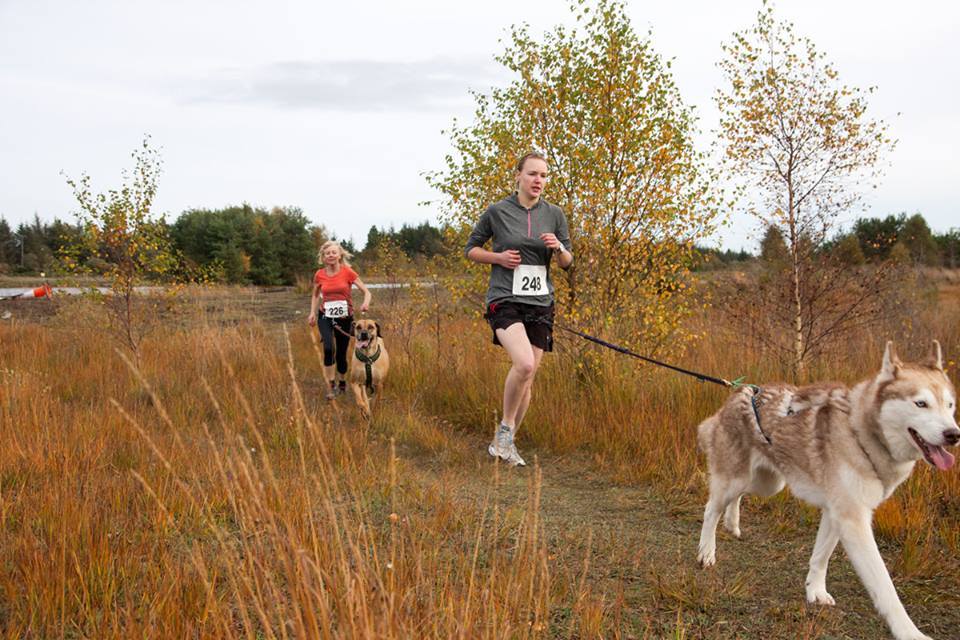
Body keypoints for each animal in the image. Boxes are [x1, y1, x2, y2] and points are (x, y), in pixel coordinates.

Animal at [696, 340, 960, 640]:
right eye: (921, 403)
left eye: (949, 405)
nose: (954, 434)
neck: (859, 434)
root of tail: (740, 391)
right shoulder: (853, 520)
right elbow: (885, 588)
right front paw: (909, 632)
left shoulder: (836, 514)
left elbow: (820, 558)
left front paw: (815, 591)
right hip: (736, 480)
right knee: (710, 509)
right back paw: (706, 552)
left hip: (768, 485)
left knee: (738, 498)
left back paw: (732, 522)